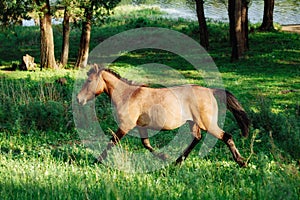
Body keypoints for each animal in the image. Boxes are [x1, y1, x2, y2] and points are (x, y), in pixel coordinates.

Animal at [77, 65, 251, 166]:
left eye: (90, 80)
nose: (79, 99)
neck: (128, 95)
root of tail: (211, 91)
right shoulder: (140, 126)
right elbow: (146, 144)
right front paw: (165, 157)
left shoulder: (126, 125)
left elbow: (112, 141)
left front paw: (97, 160)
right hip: (193, 122)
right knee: (197, 138)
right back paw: (177, 162)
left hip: (207, 123)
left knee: (226, 136)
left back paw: (241, 162)